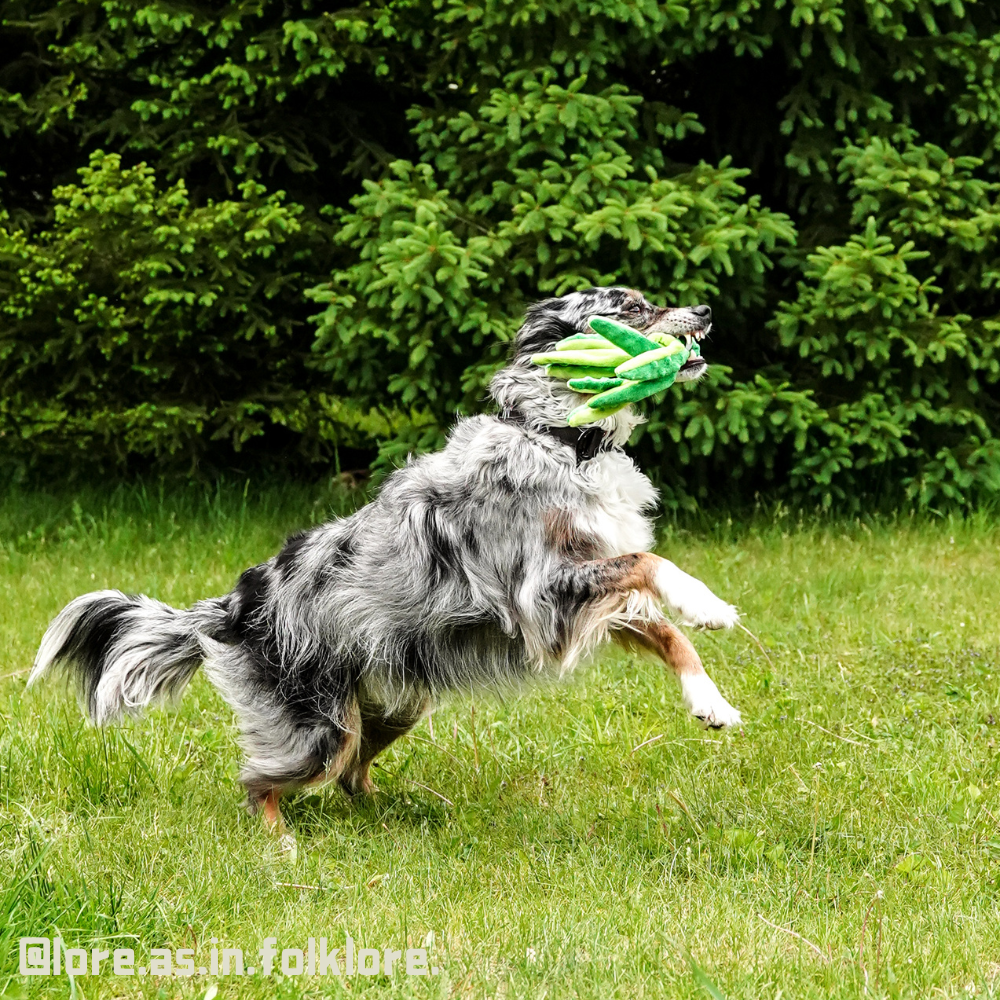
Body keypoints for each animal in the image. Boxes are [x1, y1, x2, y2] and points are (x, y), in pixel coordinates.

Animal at [29, 286, 744, 832]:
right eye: (631, 308)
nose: (707, 309)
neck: (563, 441)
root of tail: (233, 603)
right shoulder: (544, 594)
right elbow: (650, 566)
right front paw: (706, 602)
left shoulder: (587, 596)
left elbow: (666, 630)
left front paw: (710, 701)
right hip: (315, 725)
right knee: (261, 781)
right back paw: (281, 848)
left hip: (397, 702)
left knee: (351, 772)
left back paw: (400, 809)